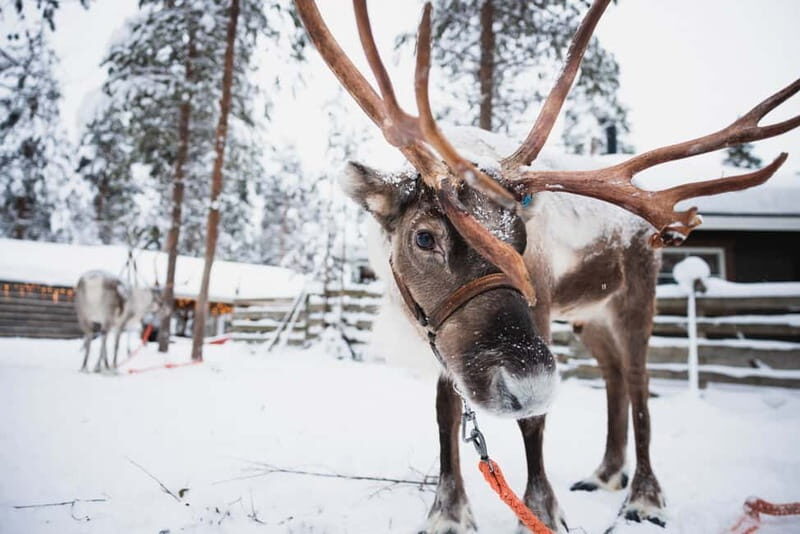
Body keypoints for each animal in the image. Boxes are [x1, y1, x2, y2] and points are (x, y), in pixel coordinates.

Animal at [295, 0, 800, 531]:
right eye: (425, 236)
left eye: (520, 239)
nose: (531, 383)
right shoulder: (442, 335)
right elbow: (445, 412)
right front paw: (448, 511)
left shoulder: (535, 314)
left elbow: (534, 421)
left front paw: (540, 509)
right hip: (587, 316)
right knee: (613, 375)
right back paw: (605, 473)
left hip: (635, 297)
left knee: (638, 383)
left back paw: (644, 497)